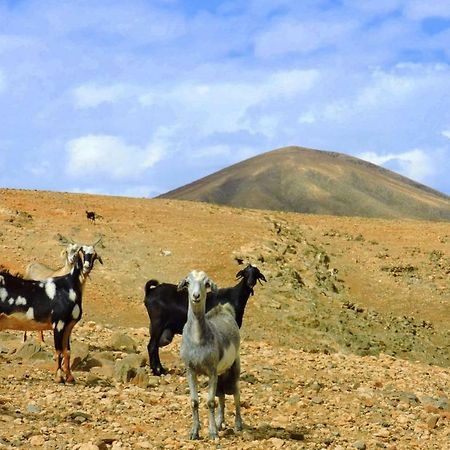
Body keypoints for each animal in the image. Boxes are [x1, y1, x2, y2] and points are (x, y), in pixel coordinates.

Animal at [0, 244, 103, 382]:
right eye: (81, 252)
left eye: (94, 255)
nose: (87, 266)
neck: (69, 286)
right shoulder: (58, 323)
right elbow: (58, 350)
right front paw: (59, 377)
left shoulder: (68, 326)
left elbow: (67, 351)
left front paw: (70, 377)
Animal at [178, 270, 243, 440]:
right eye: (188, 282)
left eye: (206, 283)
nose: (196, 296)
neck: (197, 341)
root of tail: (224, 309)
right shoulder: (191, 370)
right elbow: (194, 401)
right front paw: (194, 432)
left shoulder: (212, 371)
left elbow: (210, 402)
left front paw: (213, 433)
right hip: (221, 373)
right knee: (222, 395)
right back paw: (220, 423)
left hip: (234, 367)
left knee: (236, 393)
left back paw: (238, 424)